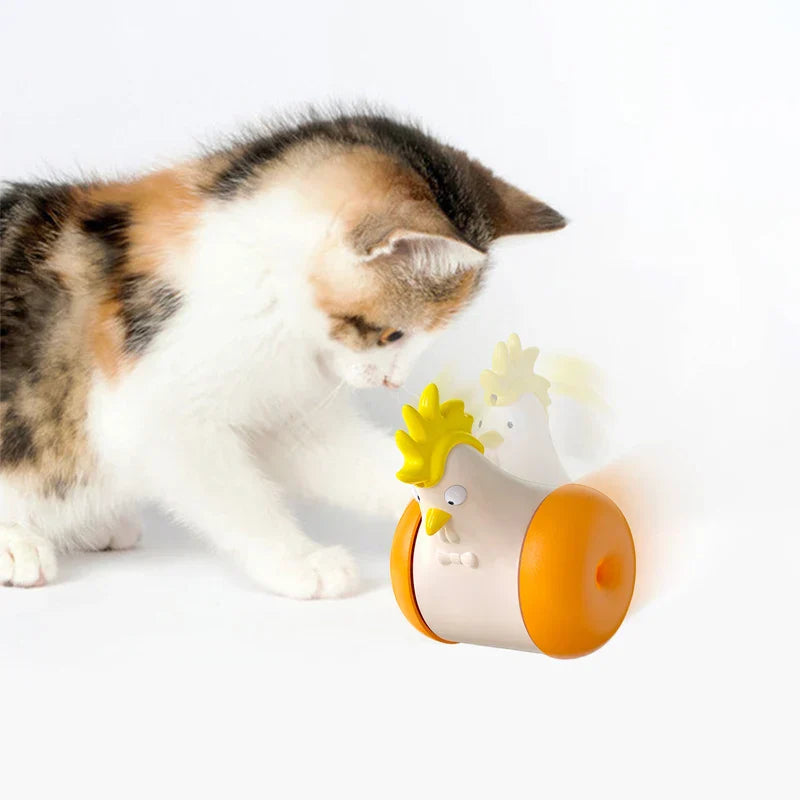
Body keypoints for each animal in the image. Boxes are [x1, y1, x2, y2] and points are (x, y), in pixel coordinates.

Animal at [0, 115, 564, 596]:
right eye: (391, 335)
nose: (389, 382)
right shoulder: (149, 408)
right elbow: (234, 493)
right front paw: (299, 561)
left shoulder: (285, 409)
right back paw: (18, 545)